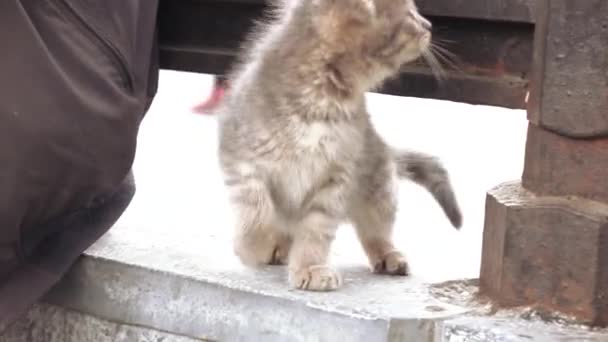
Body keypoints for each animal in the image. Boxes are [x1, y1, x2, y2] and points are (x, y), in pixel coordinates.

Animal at [218, 0, 460, 292]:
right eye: (410, 14)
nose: (428, 25)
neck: (320, 100)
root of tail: (383, 146)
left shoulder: (337, 176)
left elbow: (316, 228)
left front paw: (311, 267)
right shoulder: (239, 157)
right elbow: (256, 210)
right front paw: (253, 246)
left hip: (379, 186)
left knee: (376, 228)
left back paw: (388, 255)